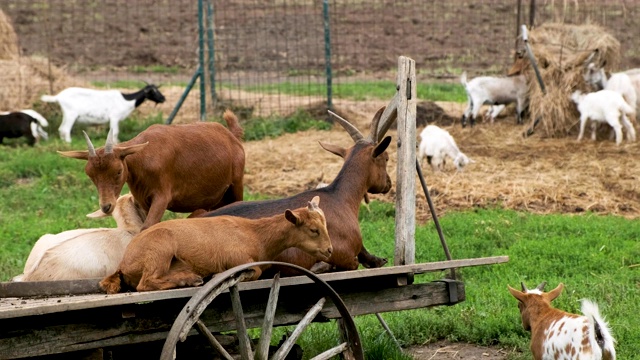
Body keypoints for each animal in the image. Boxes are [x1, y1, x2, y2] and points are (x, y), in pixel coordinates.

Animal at [58, 108, 245, 229]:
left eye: (118, 171)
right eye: (90, 175)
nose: (106, 206)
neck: (142, 157)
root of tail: (232, 136)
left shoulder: (162, 195)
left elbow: (147, 226)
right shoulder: (143, 200)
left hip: (236, 184)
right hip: (217, 198)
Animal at [101, 195, 330, 294]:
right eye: (313, 230)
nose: (329, 250)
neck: (255, 235)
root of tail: (123, 264)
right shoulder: (237, 259)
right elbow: (254, 271)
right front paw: (221, 276)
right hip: (159, 248)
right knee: (145, 283)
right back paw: (189, 280)